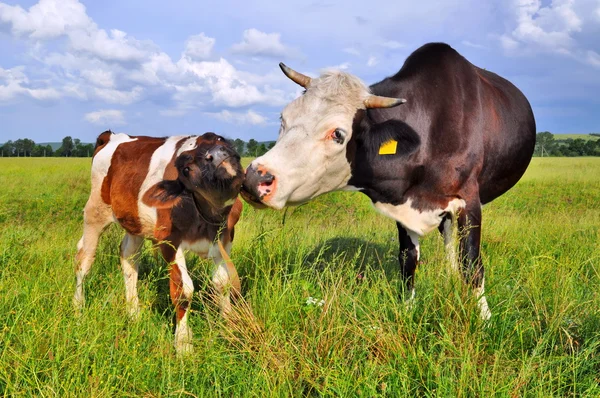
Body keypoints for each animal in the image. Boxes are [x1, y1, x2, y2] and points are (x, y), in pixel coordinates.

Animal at [74, 130, 244, 352]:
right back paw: (78, 309)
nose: (216, 155)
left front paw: (229, 326)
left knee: (128, 257)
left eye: (221, 140)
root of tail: (111, 136)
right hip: (95, 212)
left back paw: (134, 314)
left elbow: (223, 282)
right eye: (185, 169)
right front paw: (183, 345)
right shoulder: (169, 241)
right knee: (84, 259)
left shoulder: (224, 240)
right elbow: (184, 291)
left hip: (134, 222)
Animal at [241, 42, 536, 320]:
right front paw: (408, 309)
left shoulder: (469, 200)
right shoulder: (403, 205)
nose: (255, 177)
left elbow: (472, 263)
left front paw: (484, 319)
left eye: (338, 134)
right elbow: (408, 260)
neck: (428, 129)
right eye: (283, 117)